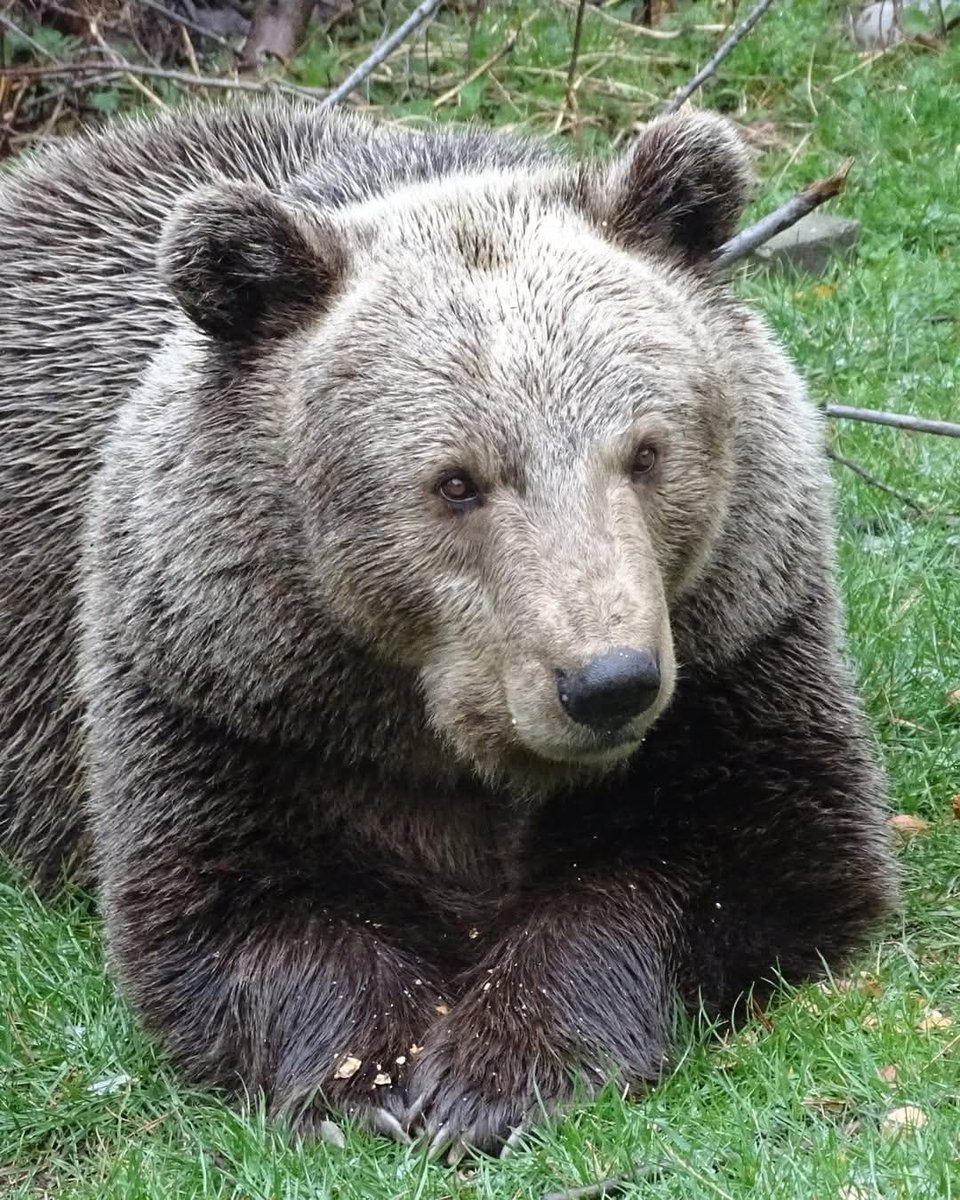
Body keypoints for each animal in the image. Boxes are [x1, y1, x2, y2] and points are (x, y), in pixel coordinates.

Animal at [0, 99, 897, 1157]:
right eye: (456, 481)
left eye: (644, 452)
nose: (609, 683)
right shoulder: (219, 699)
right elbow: (231, 907)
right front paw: (377, 1076)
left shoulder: (741, 646)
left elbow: (742, 856)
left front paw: (502, 1068)